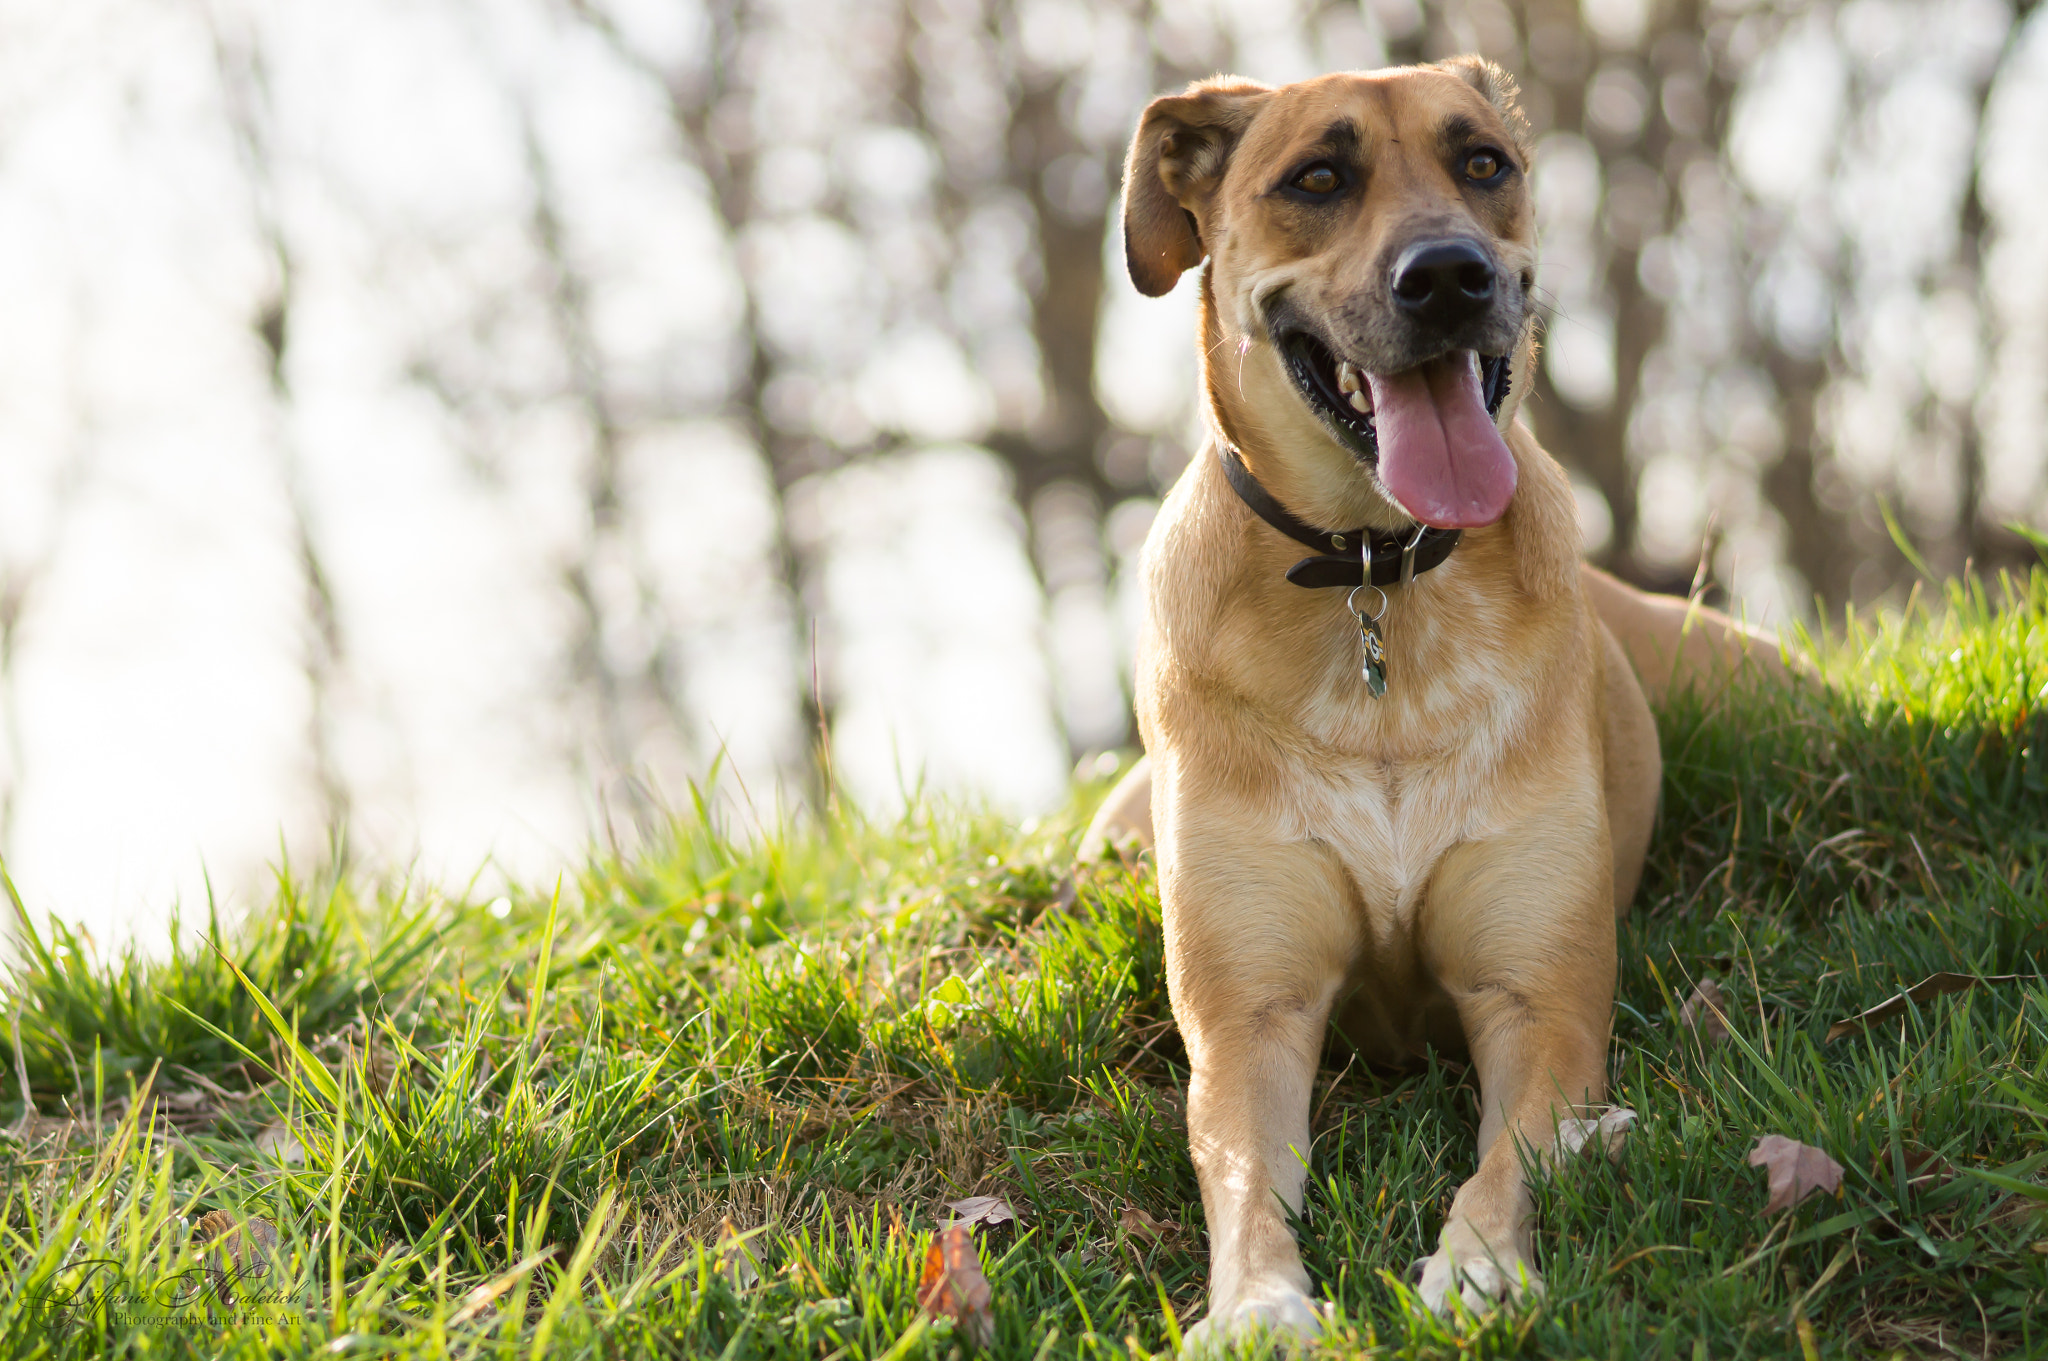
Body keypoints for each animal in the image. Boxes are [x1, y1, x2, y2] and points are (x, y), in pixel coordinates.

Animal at [1089, 58, 1794, 1342]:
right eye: (1316, 178)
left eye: (1482, 163)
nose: (1449, 275)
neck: (1374, 572)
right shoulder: (1247, 1015)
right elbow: (1239, 1173)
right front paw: (1259, 1302)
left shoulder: (1537, 997)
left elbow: (1512, 1151)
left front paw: (1477, 1266)